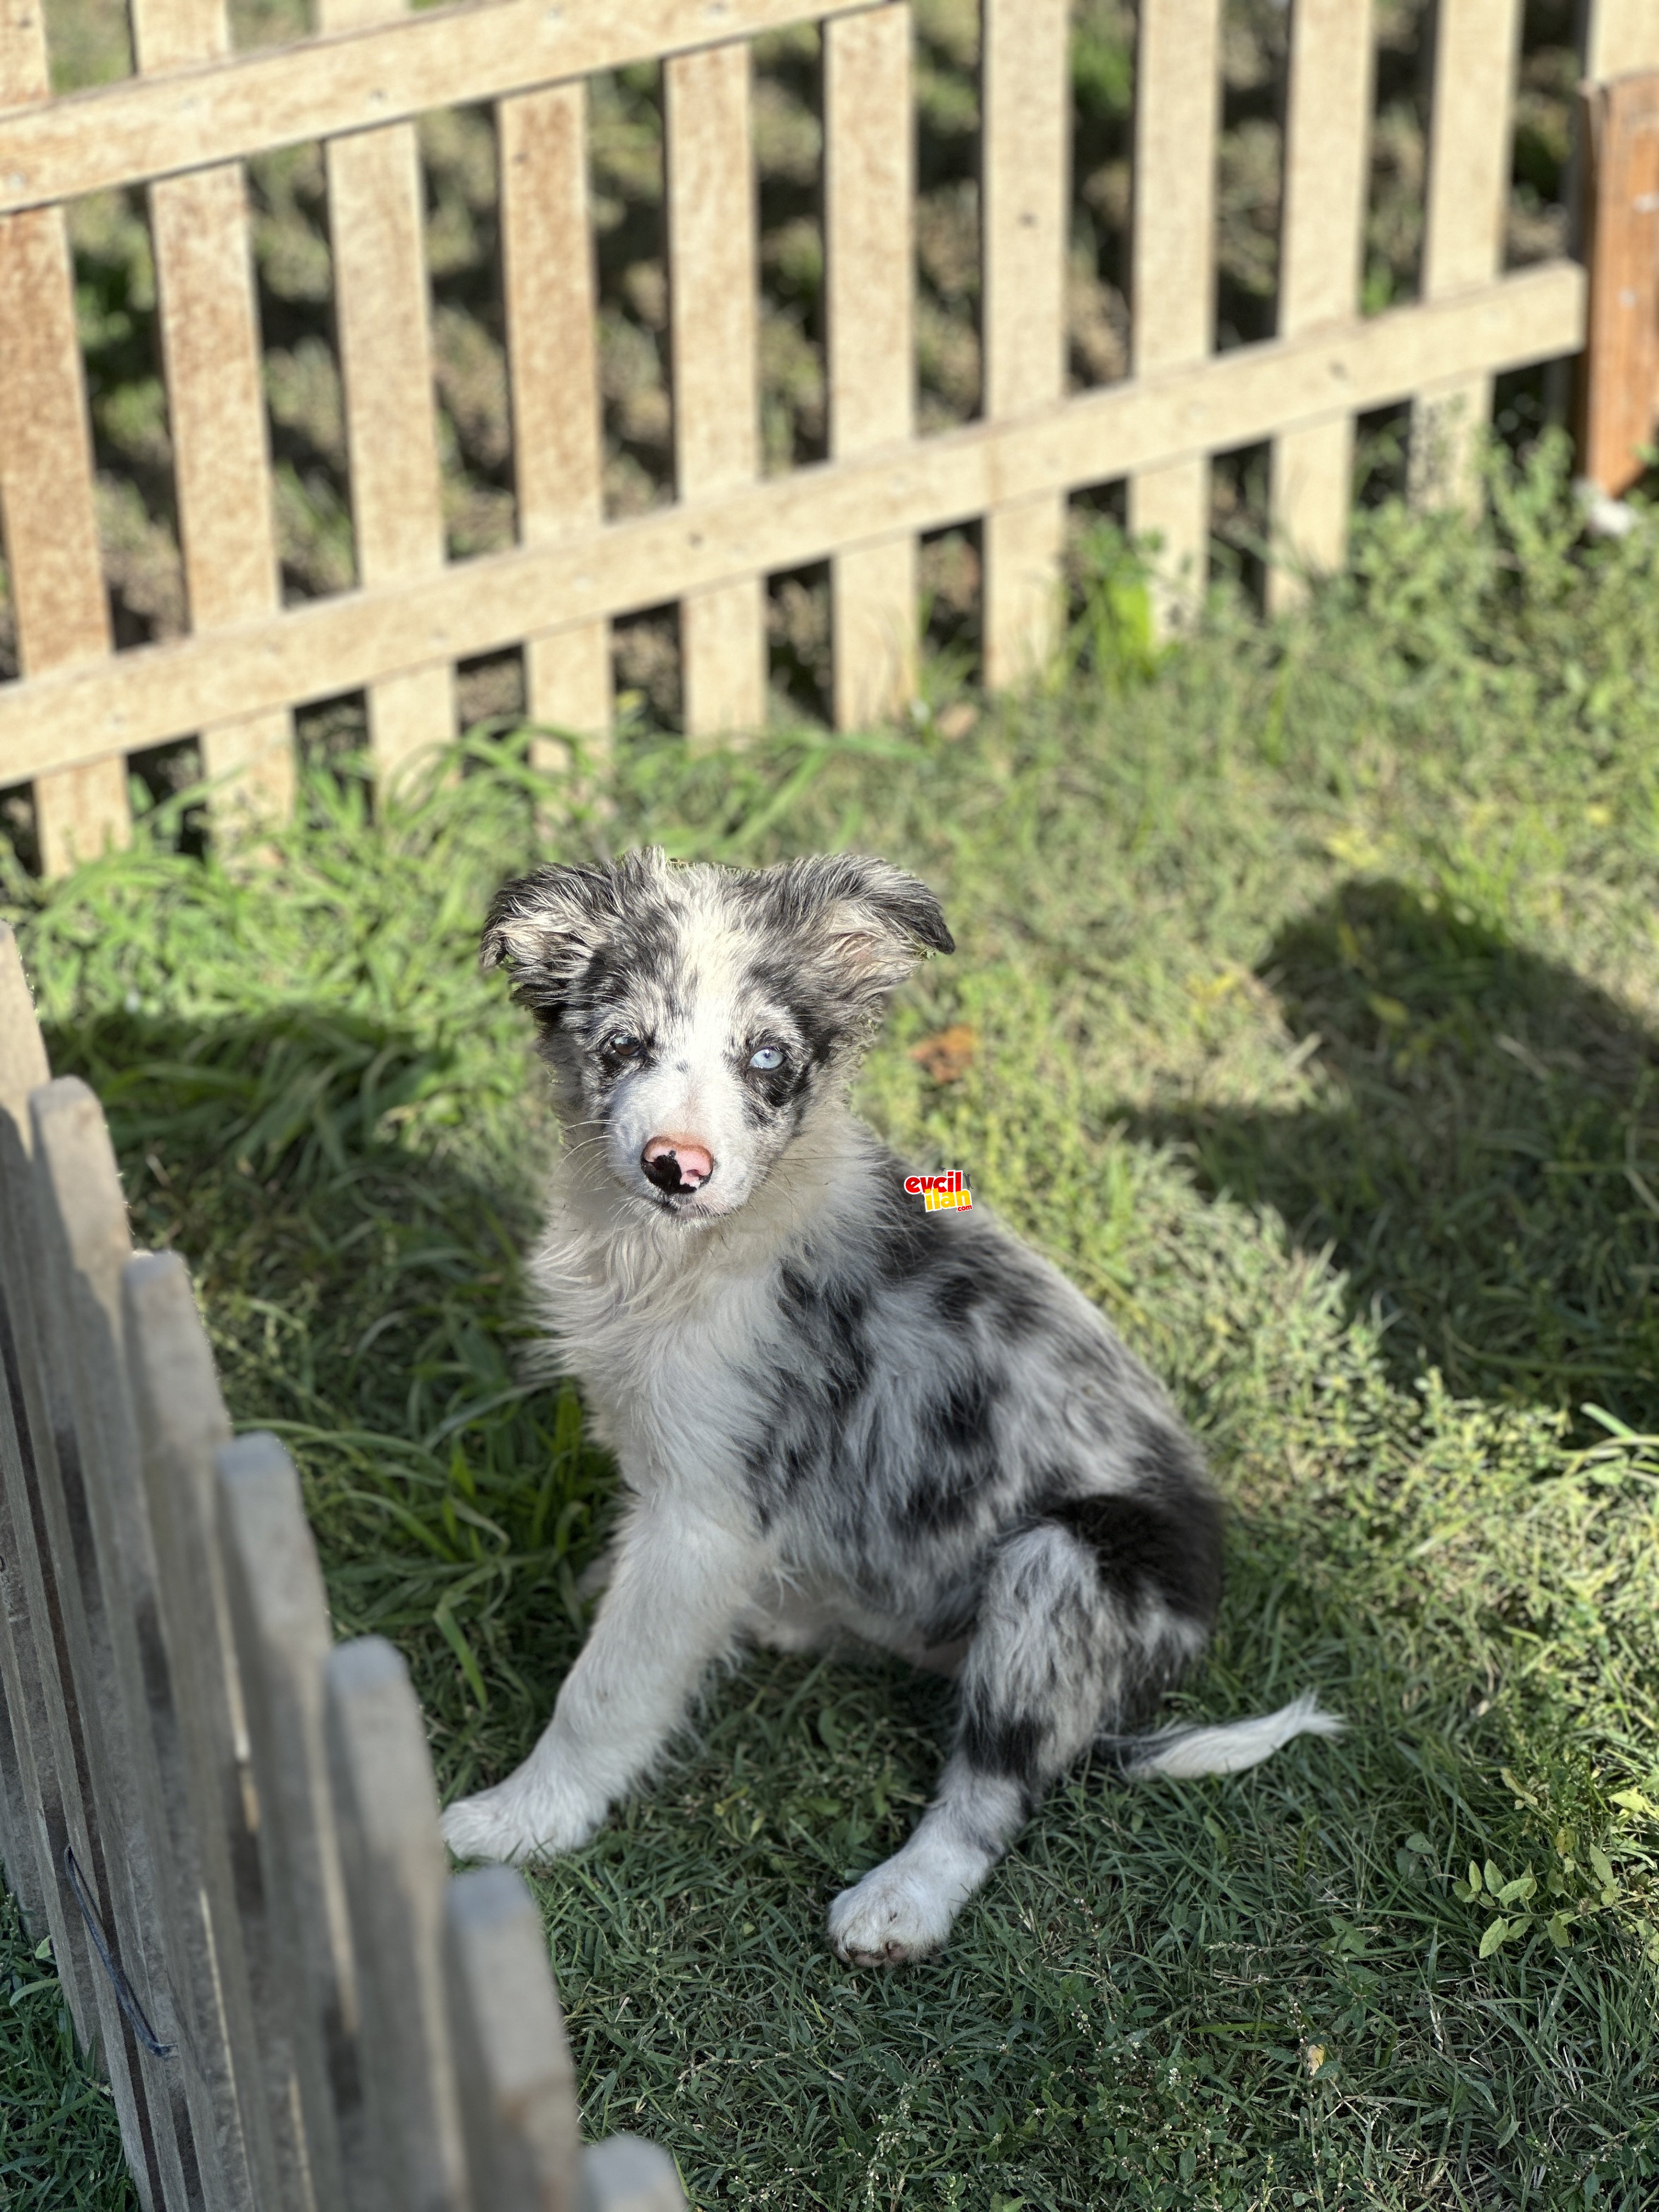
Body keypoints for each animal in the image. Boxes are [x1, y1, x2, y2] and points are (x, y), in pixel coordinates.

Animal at [438, 849, 1336, 1973]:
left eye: (767, 1058)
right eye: (622, 1046)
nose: (676, 1168)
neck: (674, 1257)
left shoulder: (706, 1510)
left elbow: (606, 1686)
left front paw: (525, 1819)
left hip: (1065, 1565)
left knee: (994, 1788)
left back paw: (902, 1899)